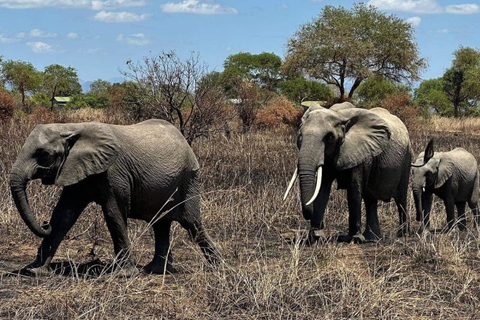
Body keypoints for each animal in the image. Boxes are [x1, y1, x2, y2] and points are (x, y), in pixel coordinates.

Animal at [9, 119, 219, 276]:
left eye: (43, 154)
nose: (44, 224)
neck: (72, 127)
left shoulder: (114, 172)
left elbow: (113, 213)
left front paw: (124, 275)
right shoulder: (76, 168)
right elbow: (64, 216)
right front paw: (34, 271)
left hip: (188, 178)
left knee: (192, 223)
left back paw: (219, 267)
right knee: (160, 224)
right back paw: (153, 270)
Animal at [284, 101, 412, 244]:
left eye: (329, 137)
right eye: (300, 135)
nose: (309, 214)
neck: (339, 115)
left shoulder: (361, 151)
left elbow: (354, 188)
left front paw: (354, 239)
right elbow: (323, 187)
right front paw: (316, 237)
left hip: (407, 157)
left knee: (401, 198)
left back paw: (402, 234)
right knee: (370, 199)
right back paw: (372, 237)